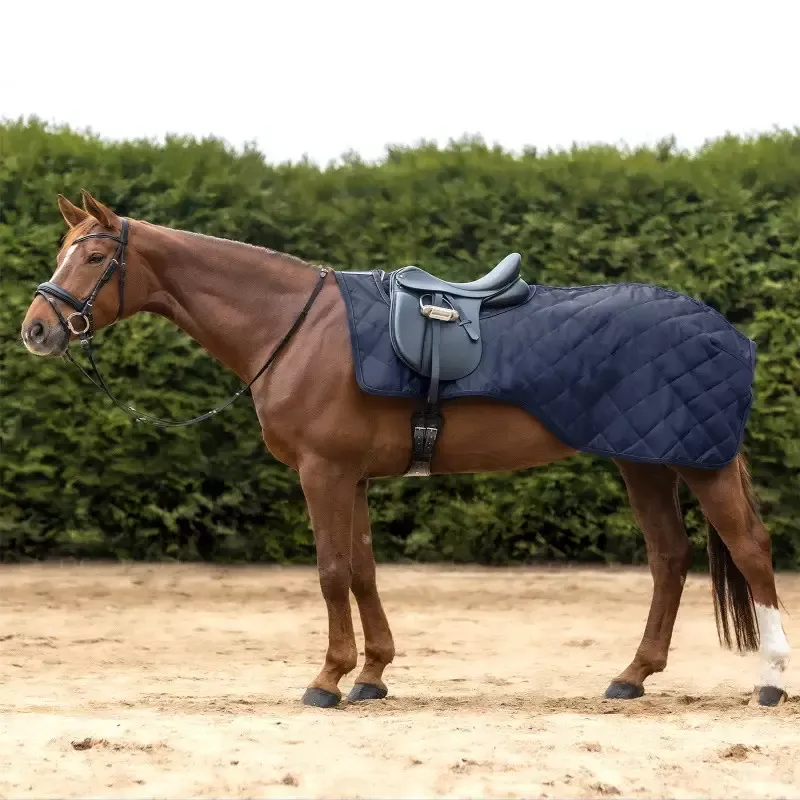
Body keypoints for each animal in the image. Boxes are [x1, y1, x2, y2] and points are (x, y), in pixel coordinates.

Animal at [19, 191, 791, 709]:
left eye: (95, 256)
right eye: (62, 252)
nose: (36, 329)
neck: (295, 327)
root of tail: (727, 330)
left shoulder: (324, 473)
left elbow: (332, 570)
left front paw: (327, 679)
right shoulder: (353, 477)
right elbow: (363, 569)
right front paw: (372, 674)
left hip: (697, 461)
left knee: (749, 550)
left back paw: (771, 681)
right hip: (644, 460)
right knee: (670, 559)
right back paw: (632, 677)